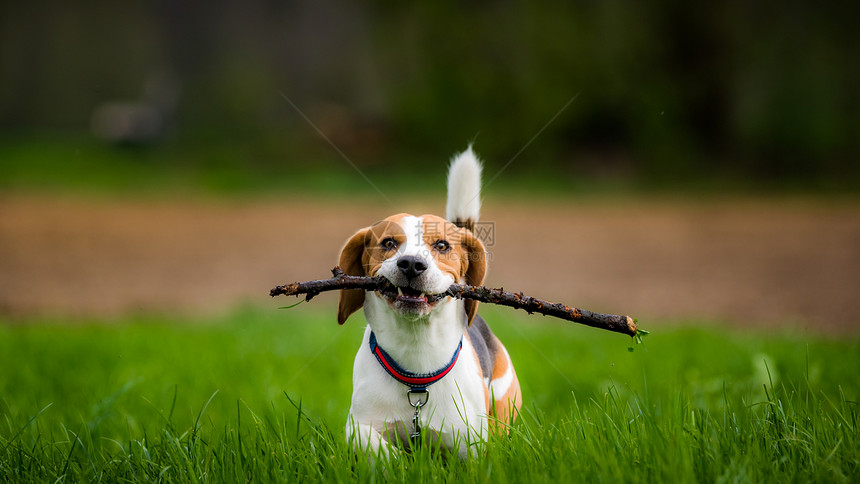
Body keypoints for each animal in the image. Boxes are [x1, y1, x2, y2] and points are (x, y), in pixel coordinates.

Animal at [338, 147, 524, 458]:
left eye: (442, 245)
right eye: (388, 243)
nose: (412, 264)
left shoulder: (470, 441)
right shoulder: (358, 424)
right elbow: (372, 444)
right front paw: (397, 460)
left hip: (504, 399)